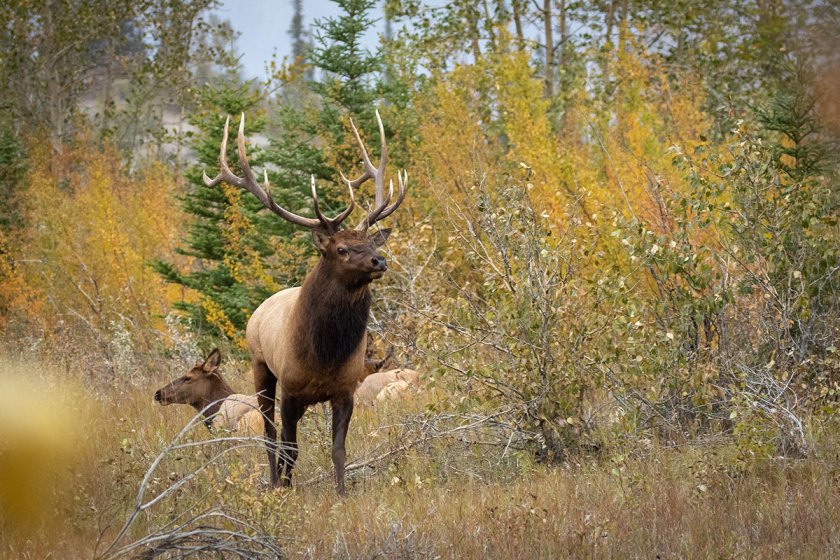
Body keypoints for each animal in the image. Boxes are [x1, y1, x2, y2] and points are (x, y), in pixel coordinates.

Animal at [203, 110, 406, 495]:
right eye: (341, 248)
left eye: (371, 242)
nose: (380, 261)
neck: (324, 354)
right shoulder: (292, 390)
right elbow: (289, 446)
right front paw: (284, 488)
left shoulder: (345, 390)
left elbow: (338, 449)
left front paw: (341, 494)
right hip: (260, 367)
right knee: (270, 436)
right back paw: (273, 480)